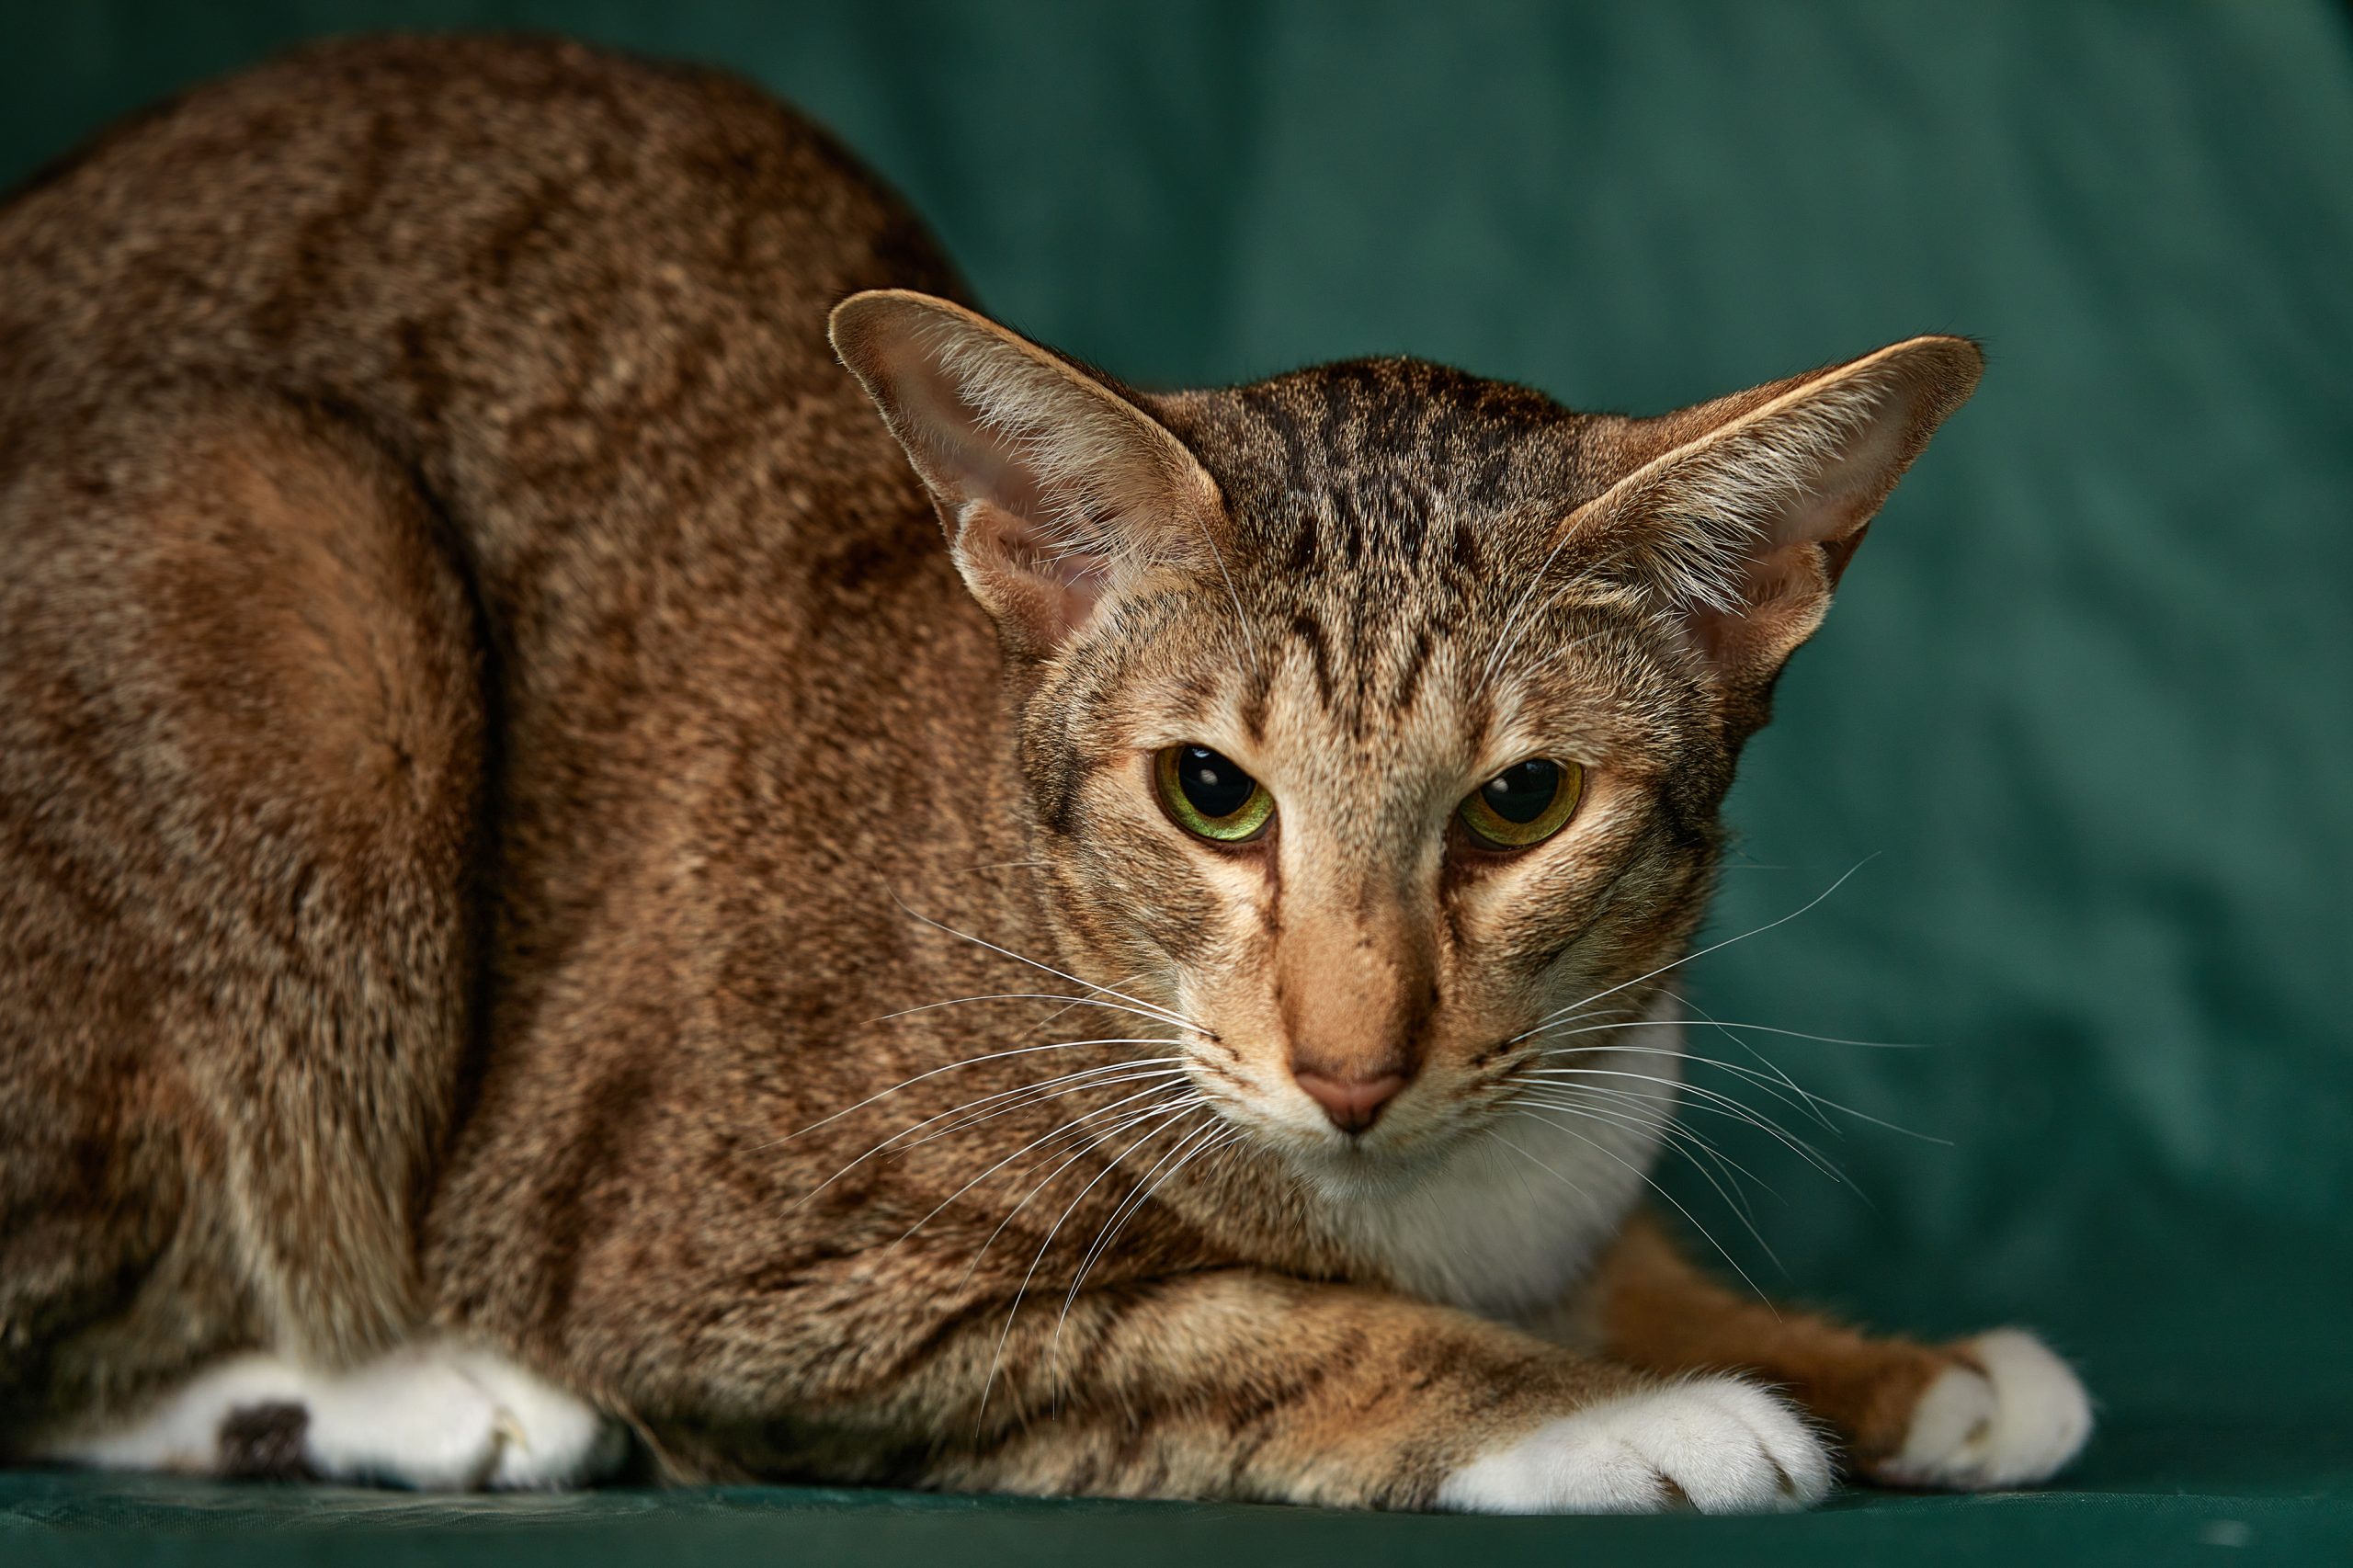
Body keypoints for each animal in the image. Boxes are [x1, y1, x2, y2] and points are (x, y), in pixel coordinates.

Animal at [5, 33, 2098, 1506]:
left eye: (1519, 806)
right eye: (1211, 795)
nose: (1351, 1069)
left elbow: (1603, 1256)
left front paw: (1870, 1358)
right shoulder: (738, 1275)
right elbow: (1259, 1330)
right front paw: (1629, 1404)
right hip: (294, 548)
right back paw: (420, 1392)